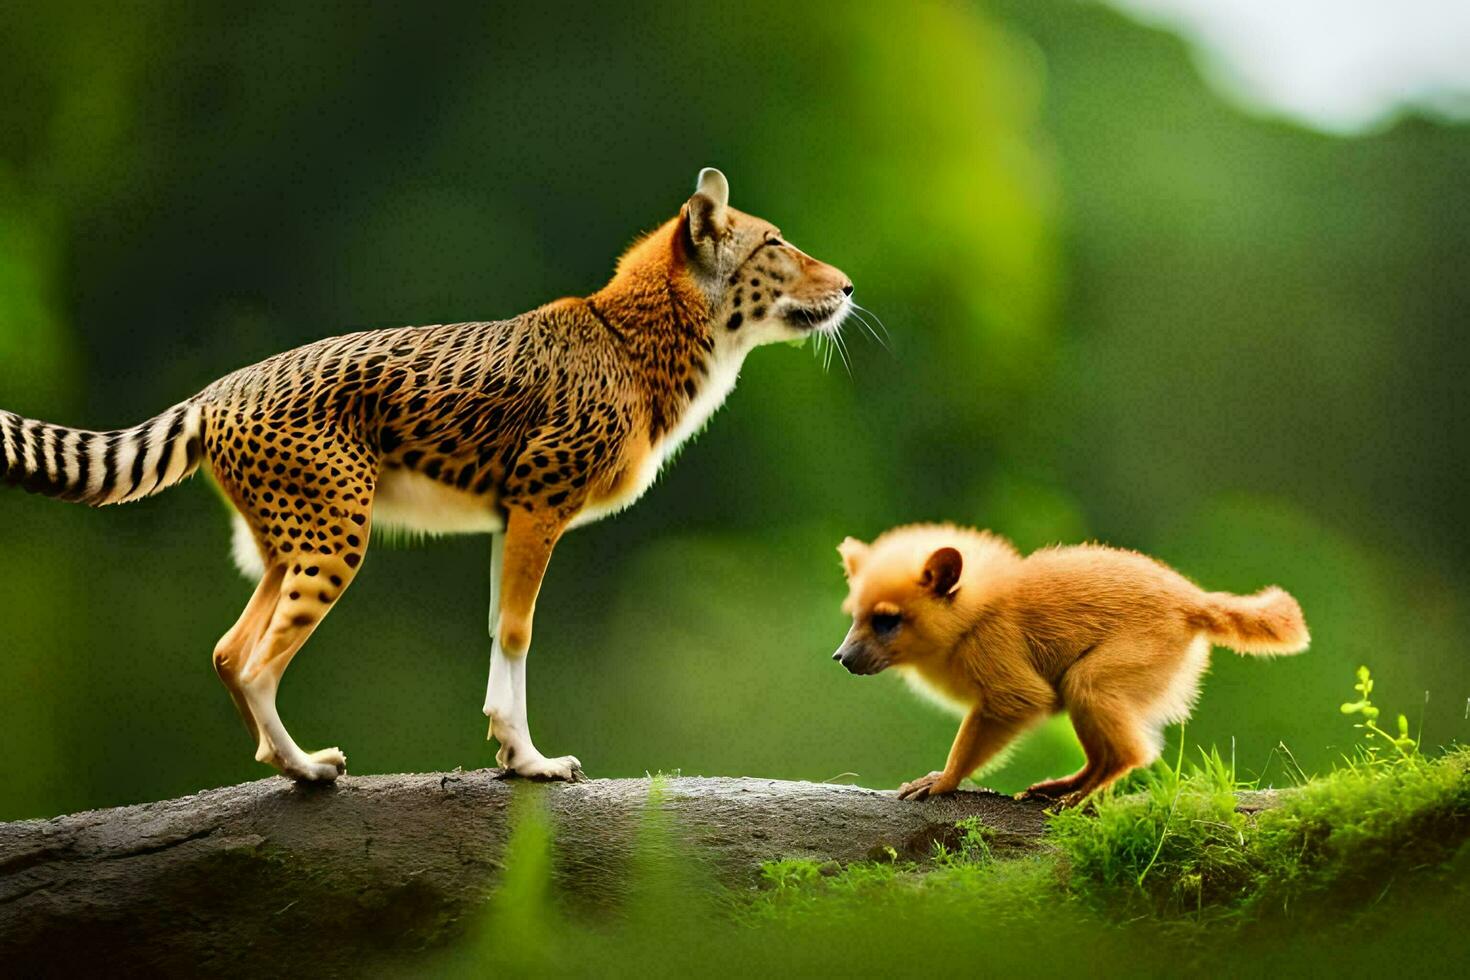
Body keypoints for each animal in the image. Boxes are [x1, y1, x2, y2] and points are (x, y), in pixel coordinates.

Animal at [834, 525, 1305, 811]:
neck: (972, 616)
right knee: (1101, 751)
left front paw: (945, 780)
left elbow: (1010, 710)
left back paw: (1082, 796)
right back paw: (1068, 786)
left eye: (887, 621)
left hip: (1115, 668)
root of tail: (1190, 602)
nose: (843, 657)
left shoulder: (1000, 666)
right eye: (856, 617)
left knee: (1126, 747)